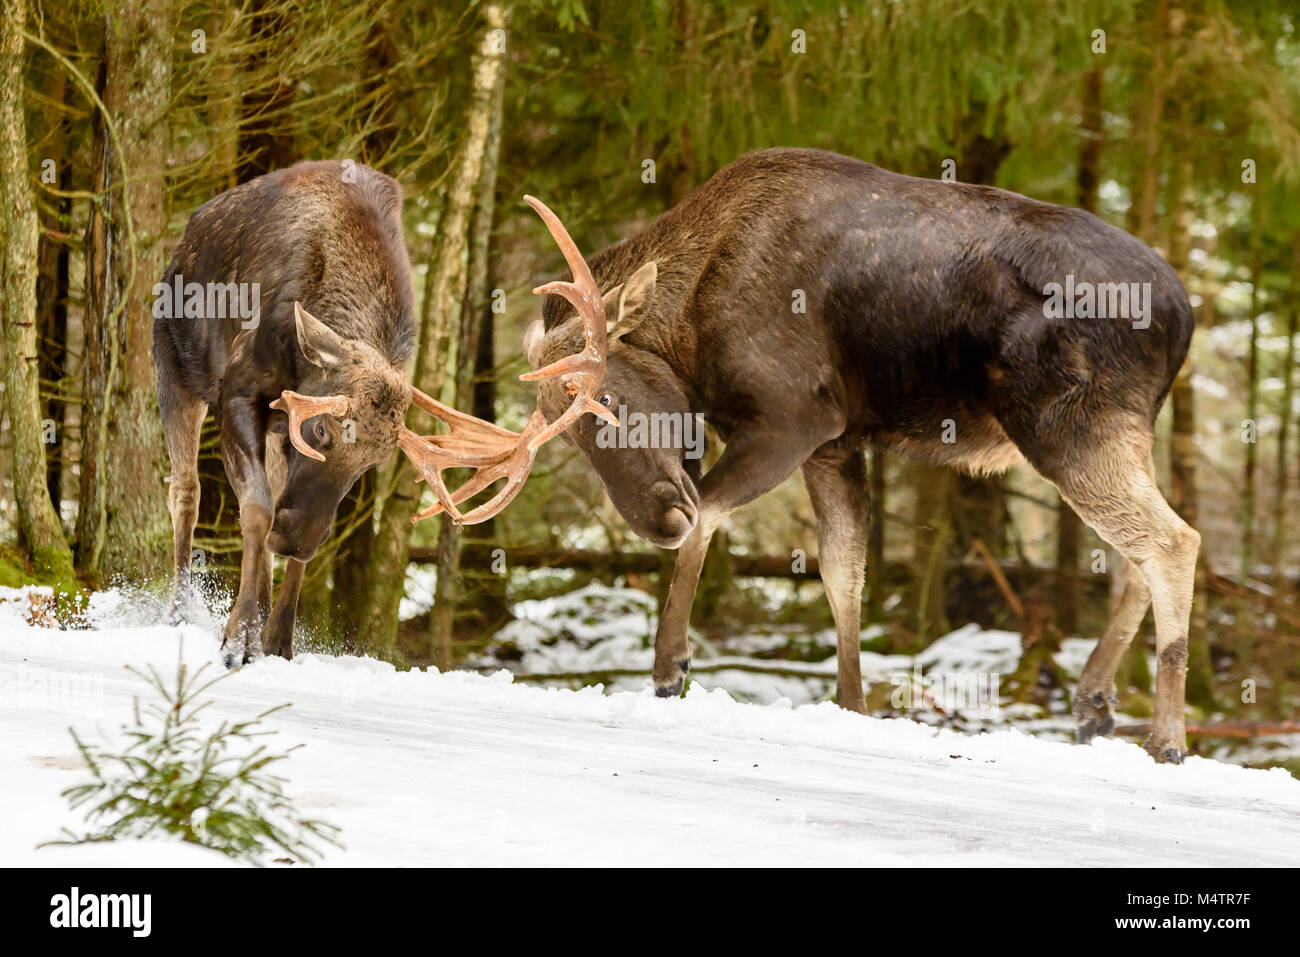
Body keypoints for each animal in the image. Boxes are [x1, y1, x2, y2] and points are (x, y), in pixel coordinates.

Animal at [154, 160, 611, 670]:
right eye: (319, 428)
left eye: (371, 464)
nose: (297, 538)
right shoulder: (237, 389)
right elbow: (255, 509)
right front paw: (236, 641)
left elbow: (288, 524)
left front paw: (276, 642)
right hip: (173, 366)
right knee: (186, 490)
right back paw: (178, 611)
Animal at [499, 147, 1196, 764]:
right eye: (565, 436)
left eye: (605, 395)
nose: (655, 518)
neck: (691, 331)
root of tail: (1184, 315)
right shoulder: (833, 445)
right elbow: (842, 572)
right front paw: (853, 703)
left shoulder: (796, 420)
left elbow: (712, 518)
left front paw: (669, 666)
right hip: (1122, 433)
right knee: (1136, 555)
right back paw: (1095, 704)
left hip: (1068, 428)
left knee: (1172, 542)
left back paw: (1165, 739)